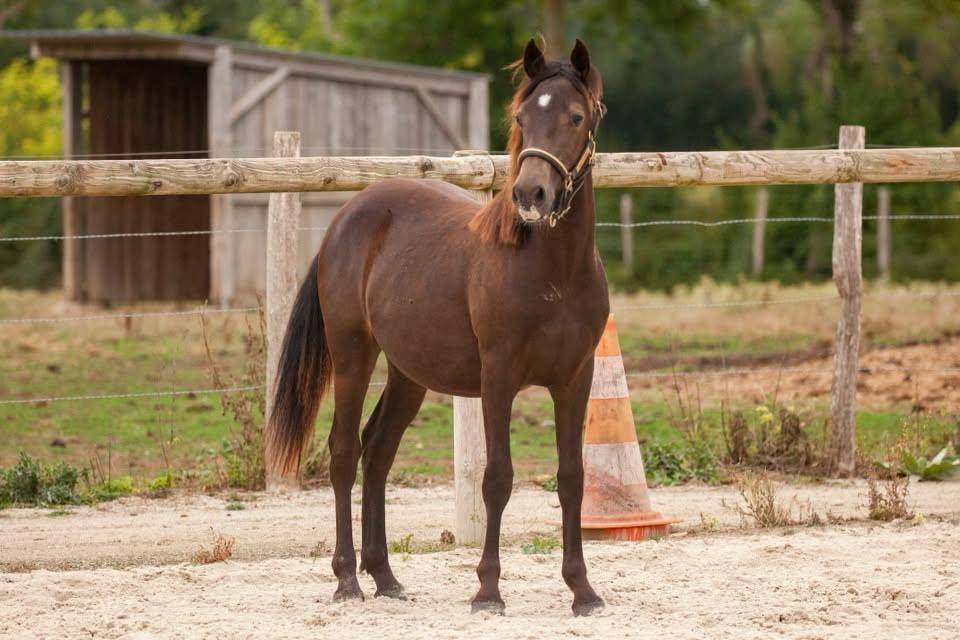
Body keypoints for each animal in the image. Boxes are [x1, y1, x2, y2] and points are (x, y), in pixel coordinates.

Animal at [267, 38, 610, 616]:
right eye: (521, 117)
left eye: (576, 116)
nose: (531, 194)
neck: (554, 272)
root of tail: (345, 220)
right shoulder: (498, 379)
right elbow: (497, 479)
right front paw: (488, 590)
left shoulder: (575, 379)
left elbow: (571, 479)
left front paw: (582, 589)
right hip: (353, 356)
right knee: (344, 452)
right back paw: (347, 579)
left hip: (409, 373)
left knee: (378, 450)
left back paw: (384, 575)